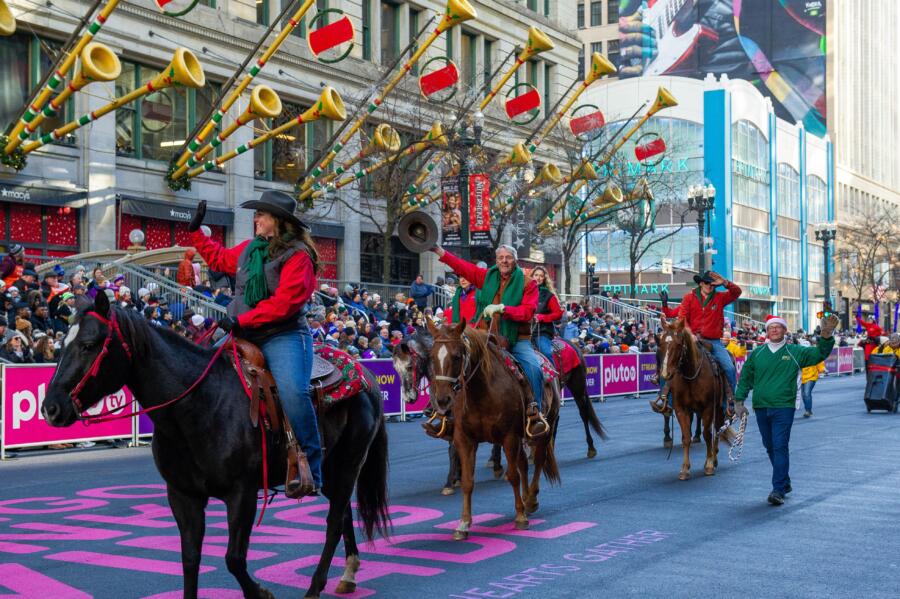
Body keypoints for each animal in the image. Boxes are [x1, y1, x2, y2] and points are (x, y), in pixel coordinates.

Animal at [42, 294, 388, 599]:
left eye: (88, 345)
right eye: (63, 345)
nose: (51, 408)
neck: (198, 405)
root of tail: (366, 376)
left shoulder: (242, 494)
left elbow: (233, 559)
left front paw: (261, 592)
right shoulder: (183, 496)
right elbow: (190, 559)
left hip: (348, 464)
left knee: (333, 522)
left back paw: (316, 586)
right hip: (330, 470)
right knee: (342, 516)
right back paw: (347, 576)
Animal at [394, 330, 604, 494]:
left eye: (410, 366)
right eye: (395, 368)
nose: (409, 398)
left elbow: (455, 449)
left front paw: (452, 480)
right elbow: (455, 447)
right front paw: (457, 477)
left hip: (577, 387)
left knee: (581, 415)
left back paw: (588, 448)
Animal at [426, 318, 560, 540]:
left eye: (457, 356)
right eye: (431, 356)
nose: (442, 400)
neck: (482, 392)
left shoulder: (509, 437)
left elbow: (512, 476)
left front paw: (520, 517)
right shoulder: (464, 439)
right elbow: (468, 481)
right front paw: (463, 524)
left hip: (545, 428)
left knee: (538, 460)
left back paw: (531, 500)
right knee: (524, 464)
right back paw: (525, 499)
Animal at [656, 316, 728, 480]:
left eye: (678, 344)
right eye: (660, 344)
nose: (665, 373)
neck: (691, 374)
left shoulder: (708, 408)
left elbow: (707, 434)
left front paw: (709, 465)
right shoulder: (681, 409)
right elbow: (686, 437)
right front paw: (684, 468)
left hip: (720, 407)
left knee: (717, 429)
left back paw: (714, 458)